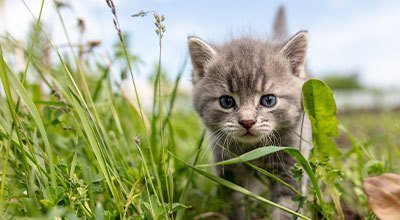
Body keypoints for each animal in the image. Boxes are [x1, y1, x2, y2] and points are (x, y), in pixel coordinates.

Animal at [188, 6, 312, 220]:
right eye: (227, 101)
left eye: (268, 100)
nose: (247, 121)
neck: (253, 150)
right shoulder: (228, 169)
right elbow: (239, 203)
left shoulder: (291, 165)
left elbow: (286, 206)